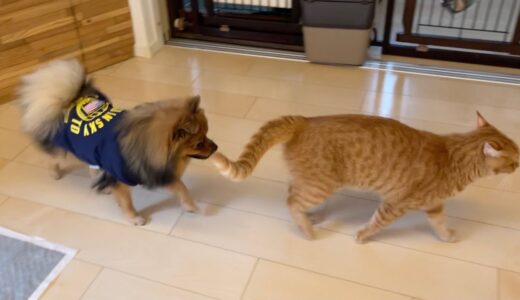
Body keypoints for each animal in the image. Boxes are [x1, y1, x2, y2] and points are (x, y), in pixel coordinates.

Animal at [18, 60, 217, 225]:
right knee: (53, 158)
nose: (216, 147)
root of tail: (71, 100)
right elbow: (127, 201)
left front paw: (189, 205)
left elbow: (180, 187)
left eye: (208, 135)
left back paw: (101, 184)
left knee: (92, 167)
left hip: (89, 150)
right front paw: (134, 218)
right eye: (199, 143)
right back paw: (55, 173)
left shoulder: (152, 170)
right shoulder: (126, 176)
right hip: (63, 147)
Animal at [212, 113, 520, 243]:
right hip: (320, 185)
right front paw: (362, 237)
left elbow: (441, 225)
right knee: (291, 201)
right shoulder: (396, 204)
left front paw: (448, 238)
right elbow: (376, 223)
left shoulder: (433, 206)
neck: (453, 158)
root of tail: (304, 120)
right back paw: (308, 230)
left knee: (292, 192)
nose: (519, 167)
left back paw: (313, 217)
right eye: (515, 159)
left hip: (312, 181)